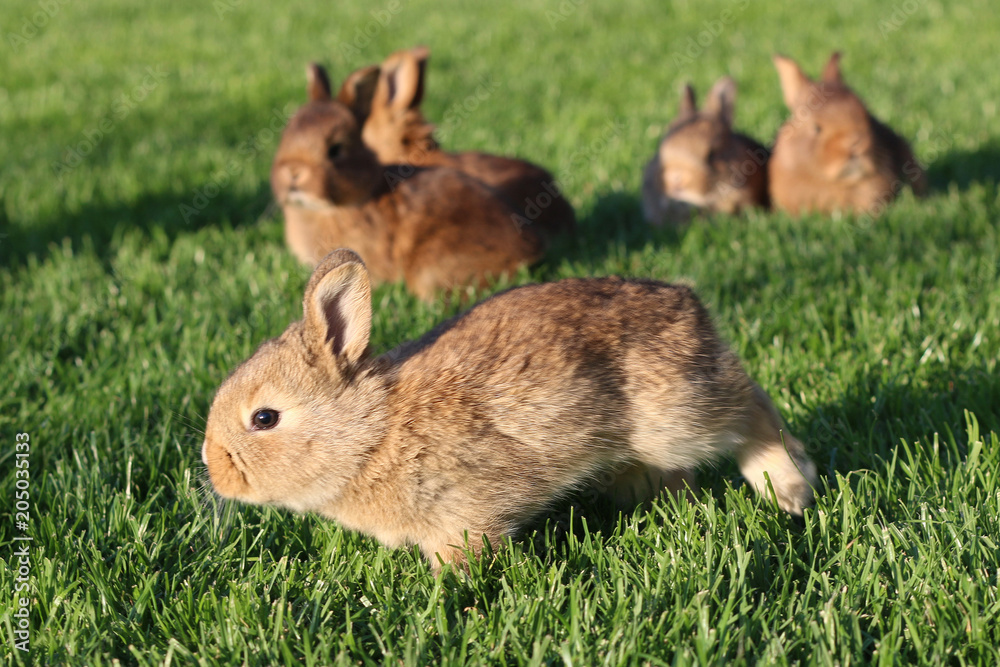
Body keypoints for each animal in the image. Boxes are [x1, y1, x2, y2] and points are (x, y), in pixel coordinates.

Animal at [201, 248, 818, 572]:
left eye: (264, 419)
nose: (215, 469)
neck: (374, 433)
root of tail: (689, 303)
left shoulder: (461, 515)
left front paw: (453, 589)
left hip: (675, 417)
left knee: (751, 410)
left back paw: (790, 488)